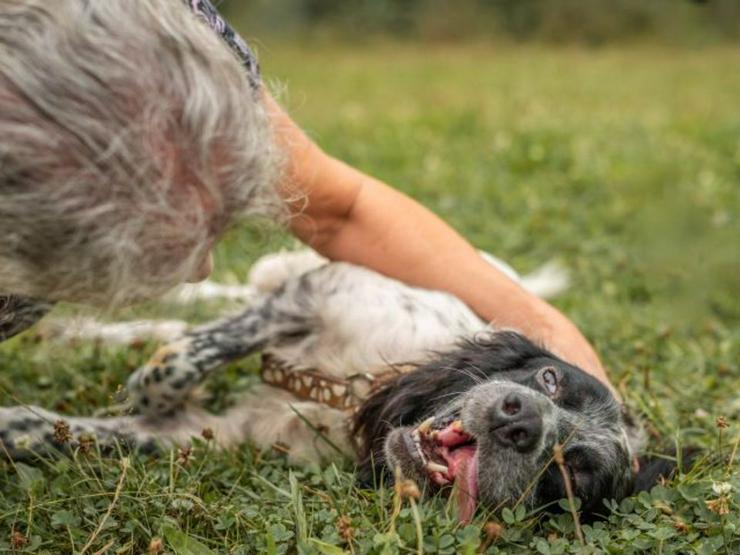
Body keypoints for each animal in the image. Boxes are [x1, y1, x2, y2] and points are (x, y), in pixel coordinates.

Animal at [0, 250, 676, 524]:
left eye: (571, 474)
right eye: (548, 378)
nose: (520, 420)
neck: (348, 393)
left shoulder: (215, 434)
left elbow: (71, 432)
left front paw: (15, 425)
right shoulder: (321, 291)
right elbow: (216, 341)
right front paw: (154, 381)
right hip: (277, 269)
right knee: (207, 299)